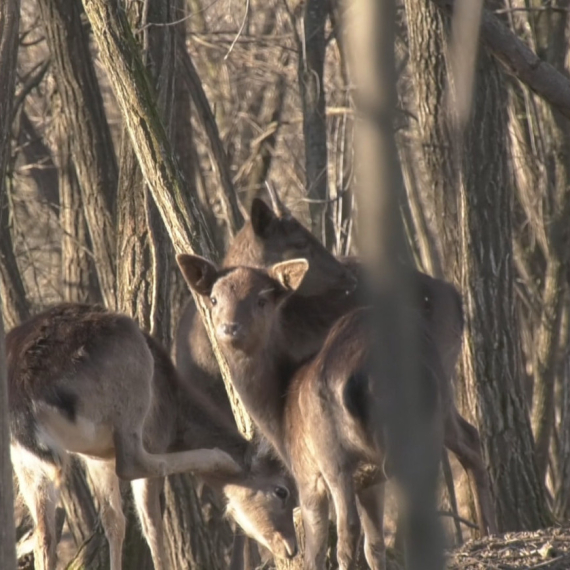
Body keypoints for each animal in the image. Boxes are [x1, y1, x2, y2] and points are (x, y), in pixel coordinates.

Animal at [6, 302, 296, 568]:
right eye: (281, 491)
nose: (291, 547)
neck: (177, 414)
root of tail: (23, 396)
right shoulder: (152, 436)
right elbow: (152, 525)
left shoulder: (95, 457)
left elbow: (114, 522)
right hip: (133, 390)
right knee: (133, 463)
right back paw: (217, 456)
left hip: (24, 459)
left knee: (44, 535)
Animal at [176, 258, 496, 564]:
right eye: (214, 298)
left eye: (262, 299)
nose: (229, 328)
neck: (279, 411)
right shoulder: (368, 480)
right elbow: (374, 546)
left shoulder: (307, 475)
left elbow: (316, 550)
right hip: (436, 408)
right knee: (465, 444)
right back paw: (488, 530)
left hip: (336, 452)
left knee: (350, 527)